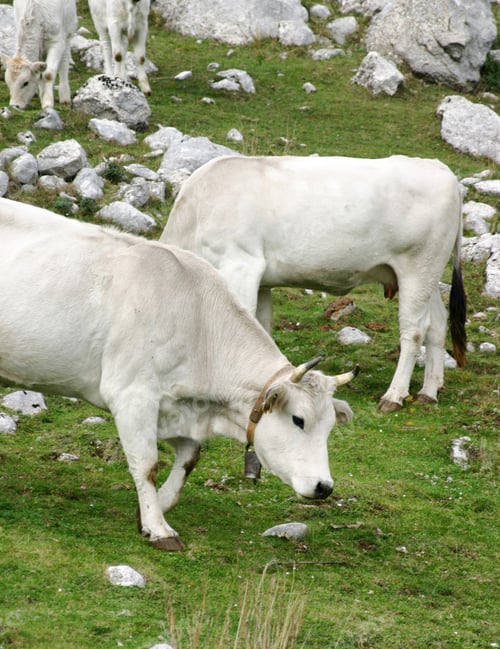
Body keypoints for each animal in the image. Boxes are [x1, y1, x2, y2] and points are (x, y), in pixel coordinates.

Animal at [0, 197, 357, 551]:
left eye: (330, 426)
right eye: (298, 420)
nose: (324, 486)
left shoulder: (174, 406)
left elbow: (189, 457)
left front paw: (153, 510)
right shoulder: (133, 396)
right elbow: (147, 465)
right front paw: (159, 528)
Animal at [161, 154, 467, 413]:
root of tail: (441, 169)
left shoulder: (241, 265)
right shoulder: (262, 282)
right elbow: (261, 328)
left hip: (417, 268)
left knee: (414, 330)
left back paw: (394, 396)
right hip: (428, 275)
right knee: (437, 323)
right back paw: (429, 391)